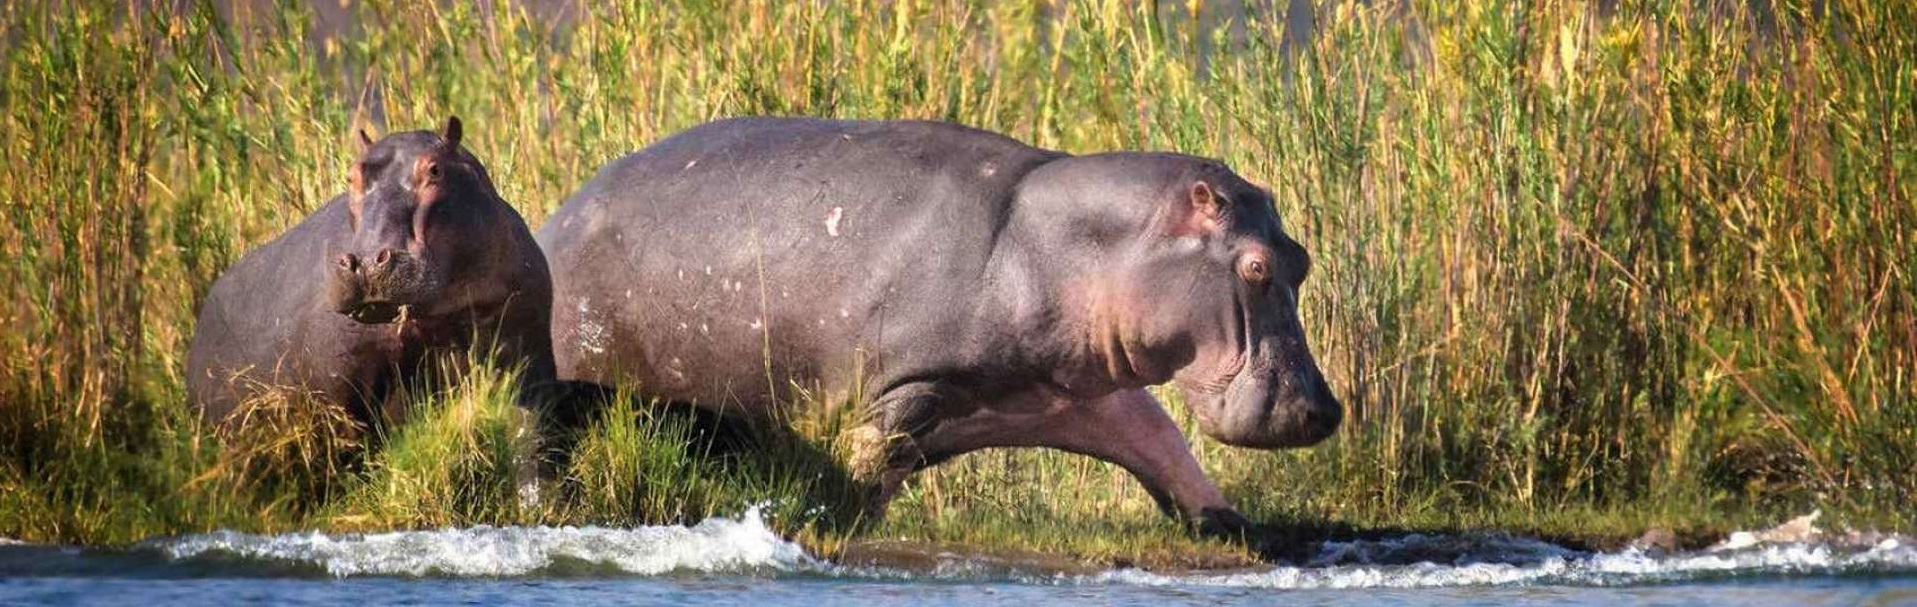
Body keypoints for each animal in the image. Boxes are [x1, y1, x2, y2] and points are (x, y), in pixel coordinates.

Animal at [532, 115, 1341, 532]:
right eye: (1254, 267)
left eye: (1301, 257)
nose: (1322, 409)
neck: (1079, 244)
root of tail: (554, 221)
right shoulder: (906, 388)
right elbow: (861, 468)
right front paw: (828, 522)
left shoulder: (1071, 393)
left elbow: (1162, 445)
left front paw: (1228, 523)